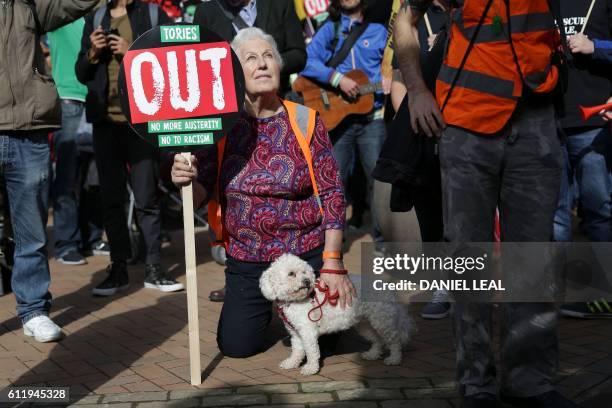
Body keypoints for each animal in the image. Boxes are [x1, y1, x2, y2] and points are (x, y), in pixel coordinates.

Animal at [260, 253, 414, 374]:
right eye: (291, 274)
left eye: (304, 272)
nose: (307, 281)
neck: (296, 301)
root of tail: (386, 287)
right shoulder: (296, 332)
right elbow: (297, 350)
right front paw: (291, 363)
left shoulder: (308, 332)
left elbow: (311, 351)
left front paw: (311, 369)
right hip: (365, 324)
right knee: (377, 339)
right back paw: (373, 354)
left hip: (382, 321)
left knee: (394, 341)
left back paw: (394, 359)